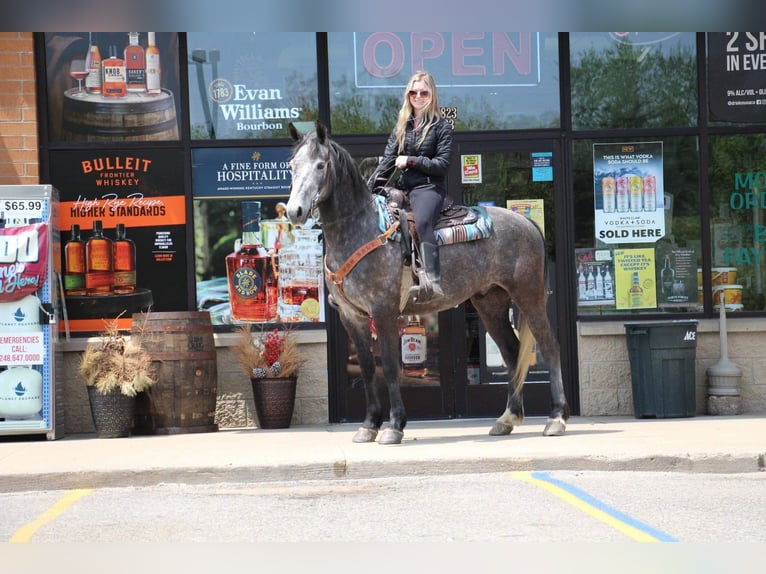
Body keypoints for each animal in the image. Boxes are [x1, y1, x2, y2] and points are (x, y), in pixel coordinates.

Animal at [288, 121, 568, 446]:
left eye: (321, 165)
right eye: (292, 166)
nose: (294, 211)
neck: (361, 228)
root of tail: (529, 224)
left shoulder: (383, 311)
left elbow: (391, 367)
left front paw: (394, 426)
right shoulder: (351, 316)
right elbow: (369, 369)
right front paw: (369, 425)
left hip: (528, 296)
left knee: (549, 346)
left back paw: (556, 418)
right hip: (491, 303)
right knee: (511, 352)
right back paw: (506, 418)